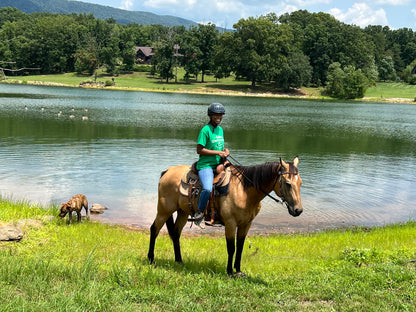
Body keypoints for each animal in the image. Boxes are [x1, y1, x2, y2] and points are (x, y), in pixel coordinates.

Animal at [148, 157, 304, 276]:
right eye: (288, 183)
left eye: (300, 182)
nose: (298, 210)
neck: (244, 191)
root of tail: (167, 171)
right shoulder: (230, 223)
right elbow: (231, 247)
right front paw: (229, 272)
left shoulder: (246, 224)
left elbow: (240, 247)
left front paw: (239, 271)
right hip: (164, 211)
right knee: (154, 230)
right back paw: (151, 259)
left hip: (182, 212)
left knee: (175, 233)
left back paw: (179, 261)